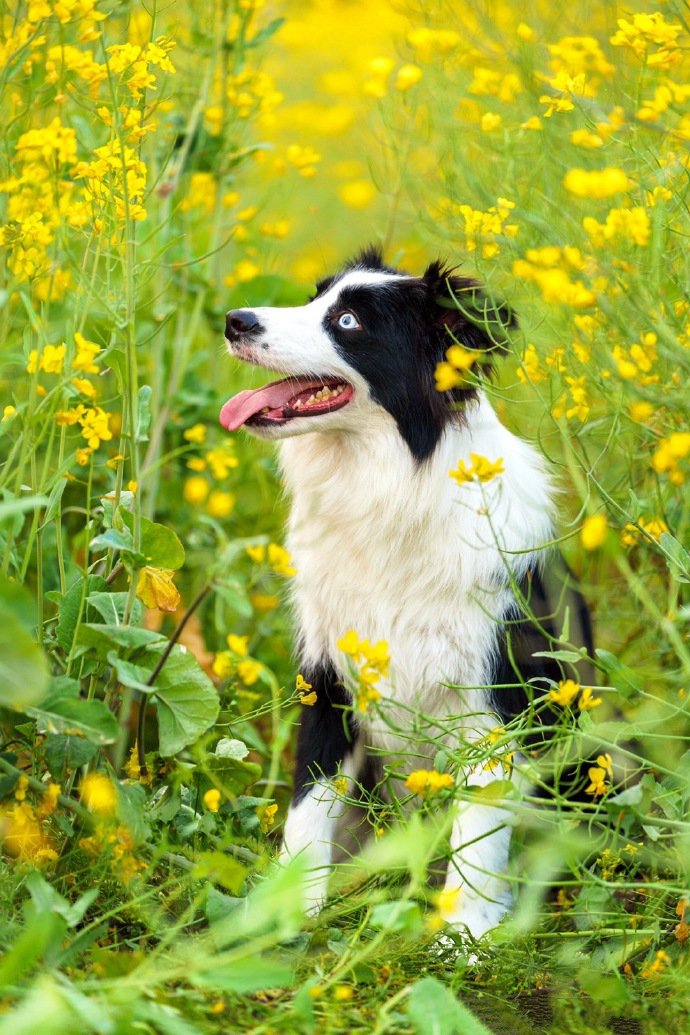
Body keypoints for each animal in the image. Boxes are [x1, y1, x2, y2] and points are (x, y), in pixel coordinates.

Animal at [221, 246, 595, 943]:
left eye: (347, 321)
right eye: (316, 297)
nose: (235, 320)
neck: (390, 488)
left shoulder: (491, 704)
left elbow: (479, 833)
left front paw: (464, 936)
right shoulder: (330, 678)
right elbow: (309, 805)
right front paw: (287, 913)